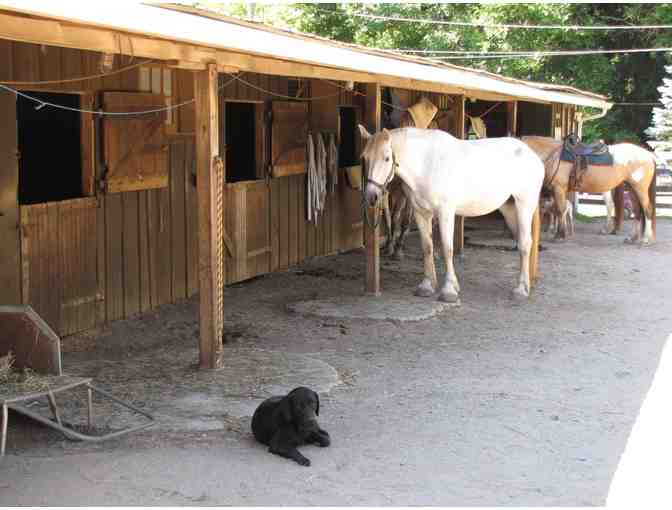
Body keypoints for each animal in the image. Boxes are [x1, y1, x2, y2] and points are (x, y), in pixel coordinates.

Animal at [358, 126, 545, 301]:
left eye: (387, 158)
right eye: (365, 158)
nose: (371, 196)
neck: (427, 164)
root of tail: (533, 156)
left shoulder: (445, 212)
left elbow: (447, 248)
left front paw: (449, 290)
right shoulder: (421, 213)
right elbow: (427, 247)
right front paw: (427, 285)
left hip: (524, 205)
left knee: (525, 244)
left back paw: (520, 290)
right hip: (509, 209)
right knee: (522, 241)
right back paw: (527, 285)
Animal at [522, 136, 656, 244]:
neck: (553, 156)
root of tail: (649, 155)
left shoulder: (559, 189)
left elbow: (560, 211)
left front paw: (559, 236)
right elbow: (561, 211)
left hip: (640, 189)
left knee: (647, 210)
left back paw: (646, 239)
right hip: (632, 189)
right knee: (637, 212)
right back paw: (632, 238)